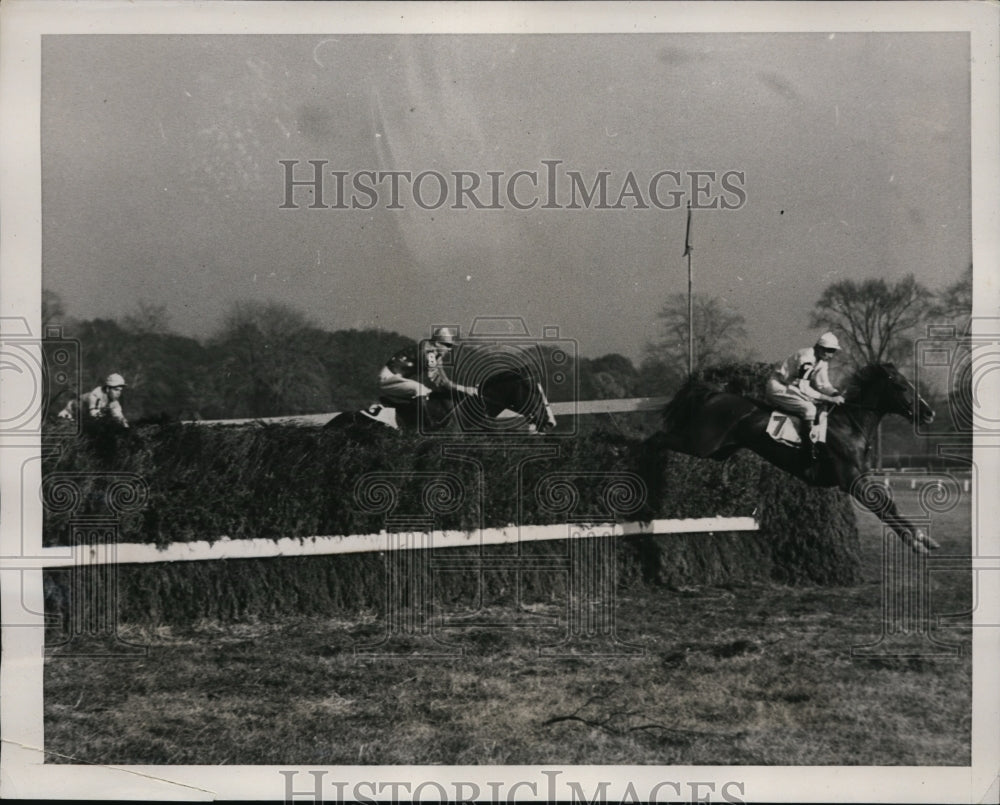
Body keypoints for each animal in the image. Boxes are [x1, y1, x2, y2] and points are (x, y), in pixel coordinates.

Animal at [652, 362, 940, 552]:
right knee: (657, 437)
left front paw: (924, 539)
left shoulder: (862, 476)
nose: (929, 413)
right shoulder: (850, 481)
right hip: (701, 444)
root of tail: (715, 394)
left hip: (718, 452)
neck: (850, 425)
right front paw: (915, 542)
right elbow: (882, 506)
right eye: (902, 387)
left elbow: (890, 504)